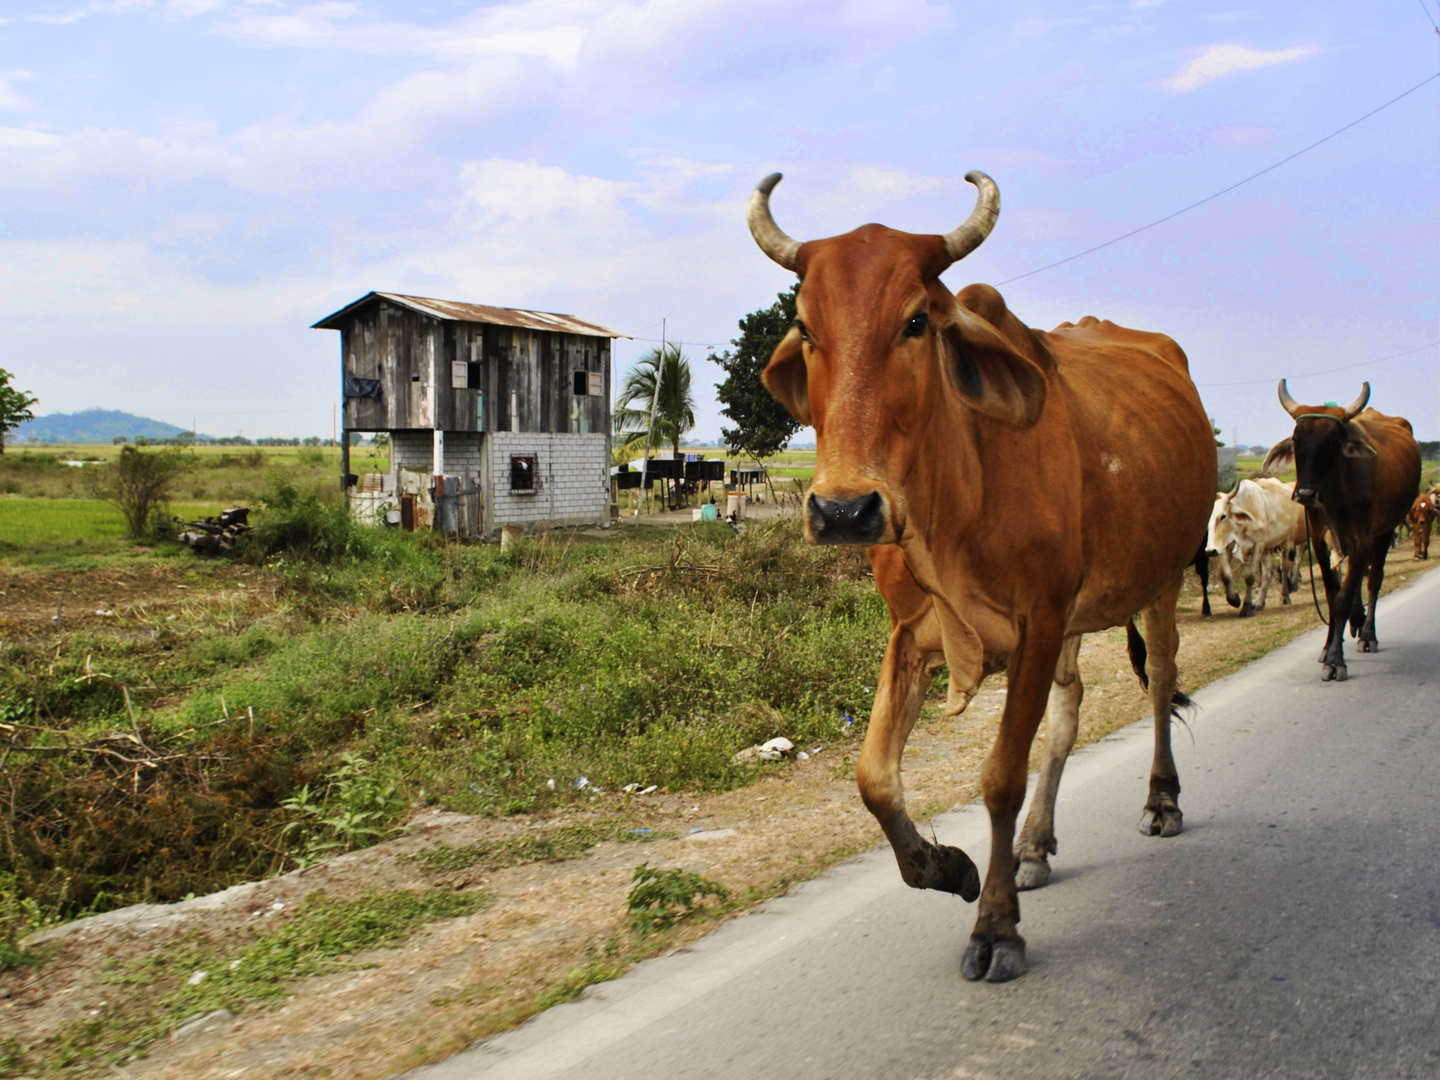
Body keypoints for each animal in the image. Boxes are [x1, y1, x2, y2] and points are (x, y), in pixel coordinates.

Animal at [748, 173, 1221, 984]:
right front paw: (949, 867)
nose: (844, 510)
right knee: (1070, 710)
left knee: (1159, 680)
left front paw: (995, 926)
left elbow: (1000, 775)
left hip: (1160, 578)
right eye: (806, 328)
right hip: (1075, 620)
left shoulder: (1038, 619)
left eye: (916, 321)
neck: (957, 495)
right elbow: (874, 778)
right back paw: (1035, 844)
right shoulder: (917, 633)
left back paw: (1161, 801)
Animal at [1203, 480, 1307, 622]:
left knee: (1284, 567)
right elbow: (1225, 575)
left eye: (1223, 516)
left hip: (1287, 540)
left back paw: (1285, 597)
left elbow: (1250, 576)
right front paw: (1234, 599)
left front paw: (1247, 607)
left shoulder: (1258, 544)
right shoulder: (1227, 546)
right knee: (1268, 572)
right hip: (1267, 548)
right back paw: (1259, 602)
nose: (1210, 550)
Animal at [1261, 385, 1416, 679]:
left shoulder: (1363, 540)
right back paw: (1356, 621)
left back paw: (1367, 634)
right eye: (1297, 440)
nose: (1305, 494)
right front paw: (1328, 647)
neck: (1335, 493)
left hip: (1384, 530)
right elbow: (1333, 595)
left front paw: (1336, 661)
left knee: (1374, 579)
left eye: (1333, 442)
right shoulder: (1319, 540)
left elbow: (1344, 597)